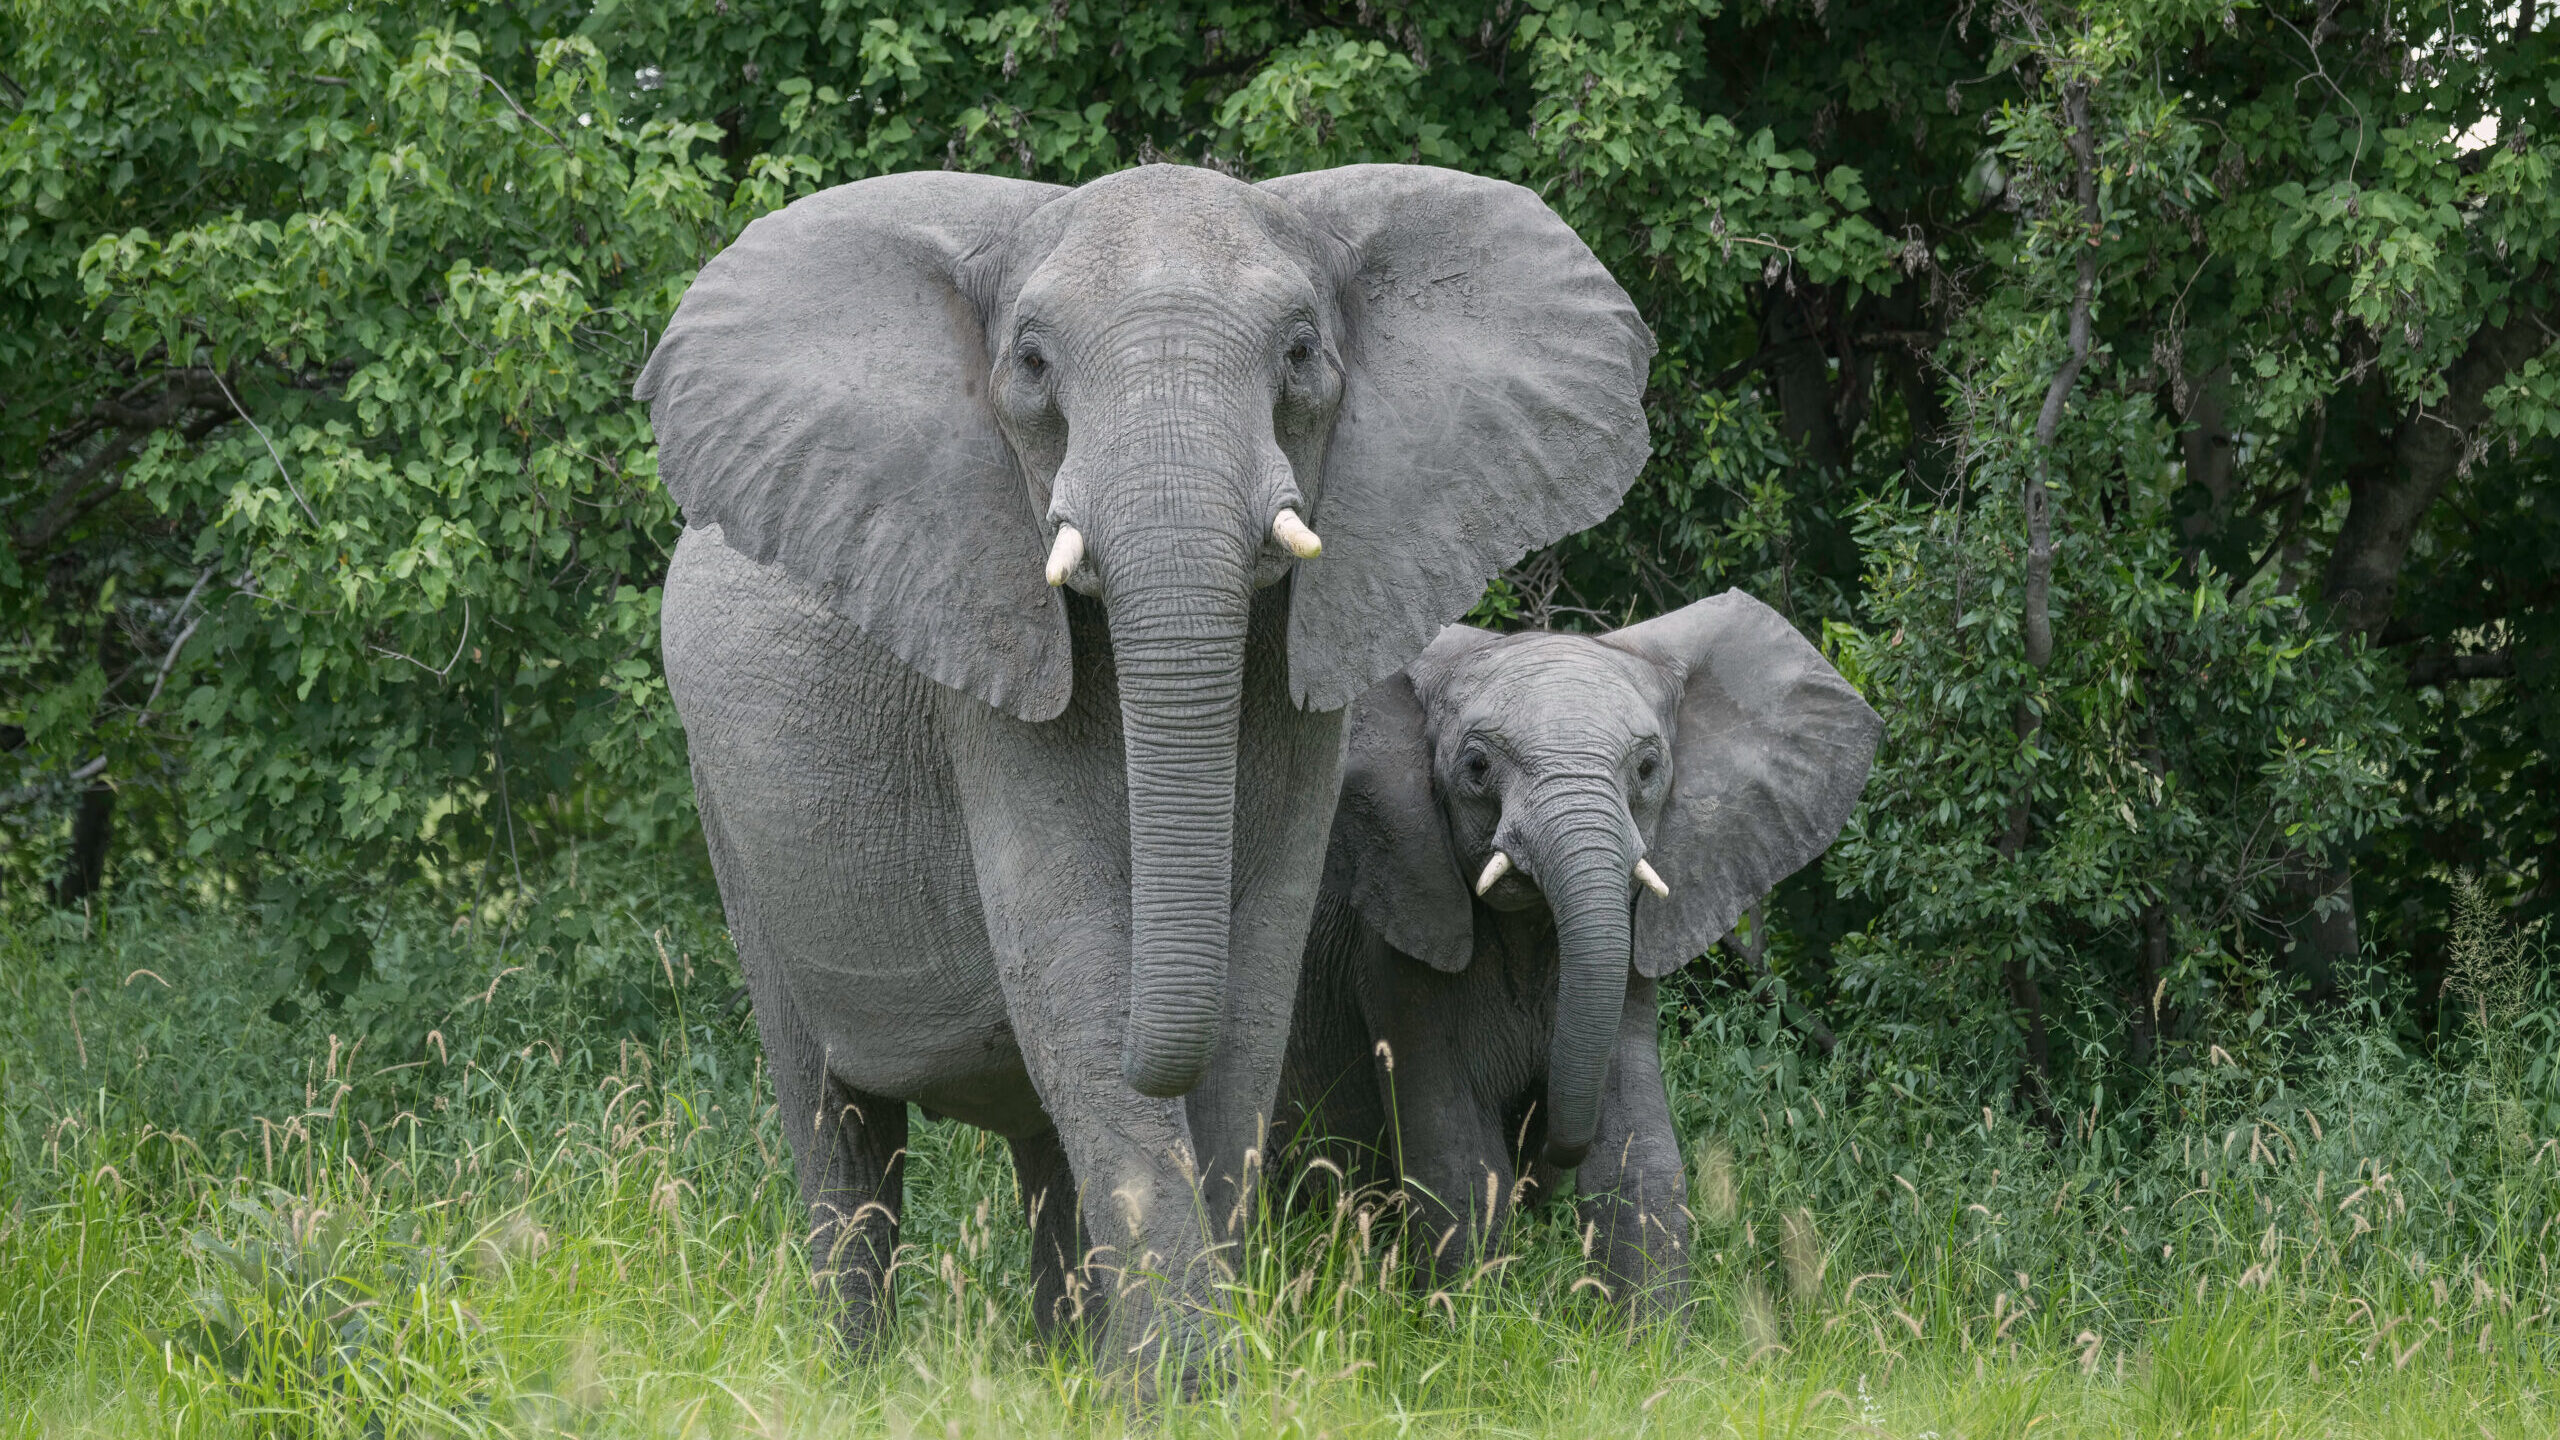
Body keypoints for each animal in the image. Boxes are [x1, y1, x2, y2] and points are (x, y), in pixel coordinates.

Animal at [640, 154, 1658, 1363]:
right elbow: (1078, 972)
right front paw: (1186, 1378)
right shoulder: (983, 657)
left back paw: (1057, 1361)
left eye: (1301, 353)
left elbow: (1247, 988)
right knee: (839, 1130)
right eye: (1032, 367)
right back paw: (859, 1373)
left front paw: (1188, 1366)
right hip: (730, 820)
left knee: (1036, 1143)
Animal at [1280, 589, 1884, 1306]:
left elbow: (1638, 1152)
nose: (1545, 1146)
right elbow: (1457, 1164)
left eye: (1648, 769)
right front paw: (1470, 1322)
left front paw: (1652, 1334)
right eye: (1476, 767)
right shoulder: (1401, 936)